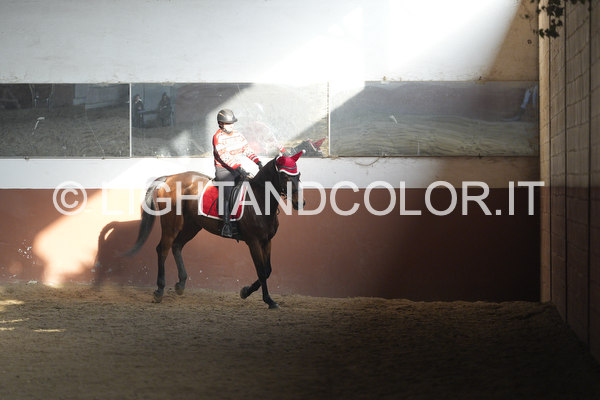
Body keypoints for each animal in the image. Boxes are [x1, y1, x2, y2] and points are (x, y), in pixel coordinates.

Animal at [124, 151, 305, 309]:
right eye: (285, 176)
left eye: (298, 175)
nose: (300, 203)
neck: (260, 200)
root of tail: (169, 178)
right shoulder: (253, 242)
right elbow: (261, 271)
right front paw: (268, 300)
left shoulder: (267, 241)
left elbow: (267, 270)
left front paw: (246, 292)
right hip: (171, 224)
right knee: (163, 249)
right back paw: (159, 290)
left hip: (192, 226)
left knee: (177, 246)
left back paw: (180, 284)